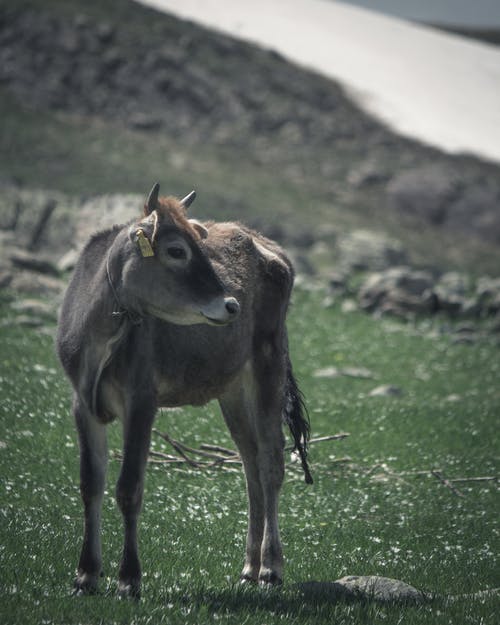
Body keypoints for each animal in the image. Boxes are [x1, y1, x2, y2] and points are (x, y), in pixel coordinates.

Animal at [56, 183, 310, 596]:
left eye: (198, 244)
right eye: (177, 250)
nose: (231, 304)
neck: (99, 337)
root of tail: (267, 244)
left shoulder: (142, 400)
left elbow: (129, 489)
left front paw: (129, 578)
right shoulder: (82, 402)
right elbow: (90, 485)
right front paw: (86, 574)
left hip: (268, 363)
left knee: (272, 462)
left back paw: (271, 567)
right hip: (232, 388)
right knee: (251, 464)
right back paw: (249, 566)